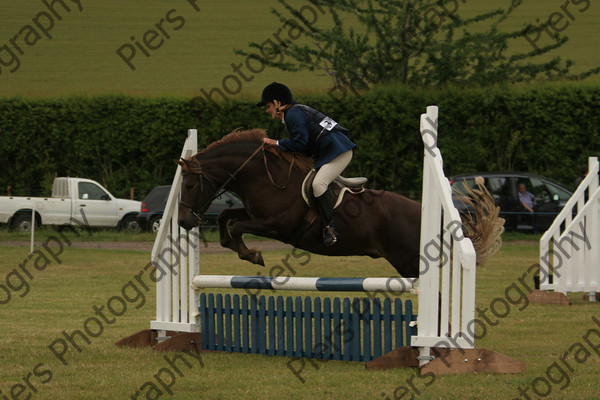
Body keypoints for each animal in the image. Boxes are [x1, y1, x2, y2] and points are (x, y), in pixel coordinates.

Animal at [177, 129, 502, 278]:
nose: (183, 222)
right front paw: (236, 248)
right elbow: (226, 216)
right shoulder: (254, 213)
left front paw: (252, 254)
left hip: (409, 262)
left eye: (190, 186)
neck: (264, 176)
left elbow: (237, 225)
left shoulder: (276, 225)